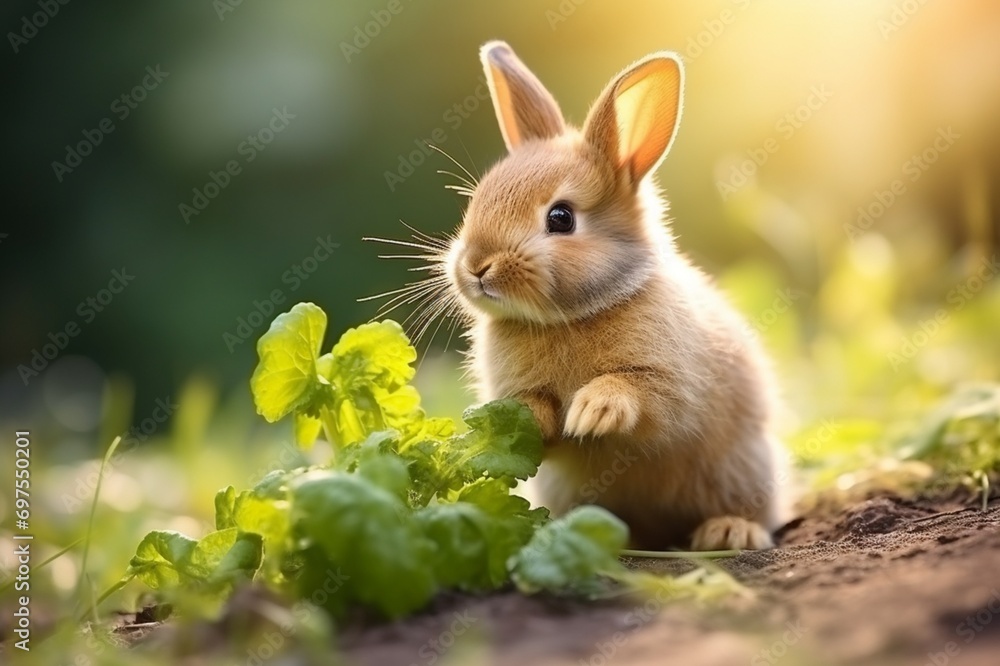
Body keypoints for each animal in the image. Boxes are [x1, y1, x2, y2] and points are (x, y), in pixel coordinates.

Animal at [434, 41, 787, 551]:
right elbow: (534, 415)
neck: (574, 313)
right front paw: (530, 420)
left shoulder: (671, 382)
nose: (477, 267)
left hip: (744, 465)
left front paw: (592, 412)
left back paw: (728, 533)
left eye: (561, 218)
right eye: (476, 201)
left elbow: (643, 397)